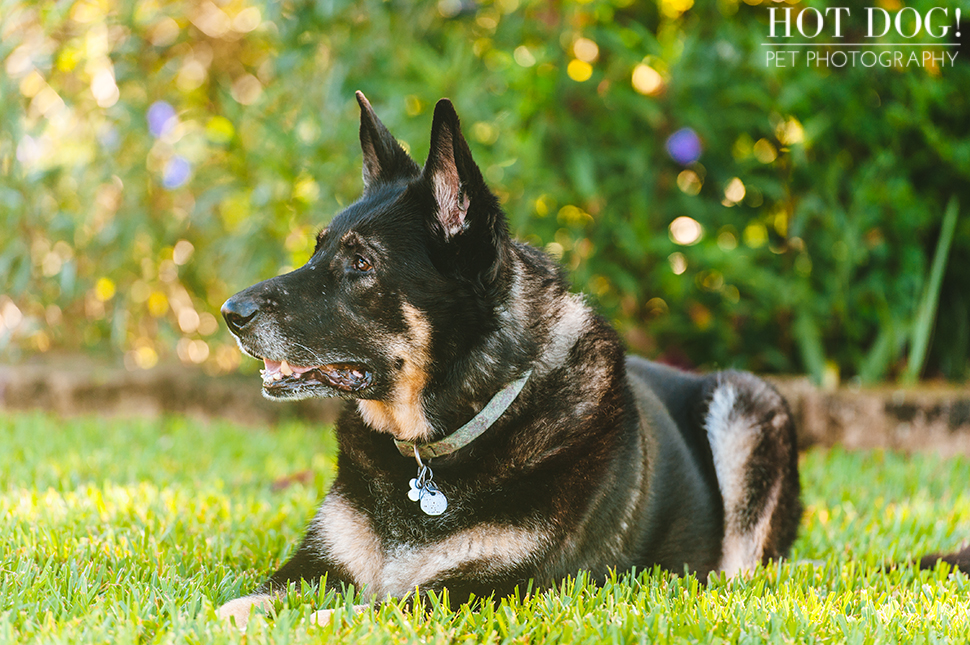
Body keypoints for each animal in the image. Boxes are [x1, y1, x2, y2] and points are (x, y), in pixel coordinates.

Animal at [216, 92, 964, 624]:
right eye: (317, 249)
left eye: (359, 263)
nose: (230, 314)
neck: (444, 442)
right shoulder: (313, 569)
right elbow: (243, 604)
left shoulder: (474, 593)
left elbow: (350, 616)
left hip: (749, 405)